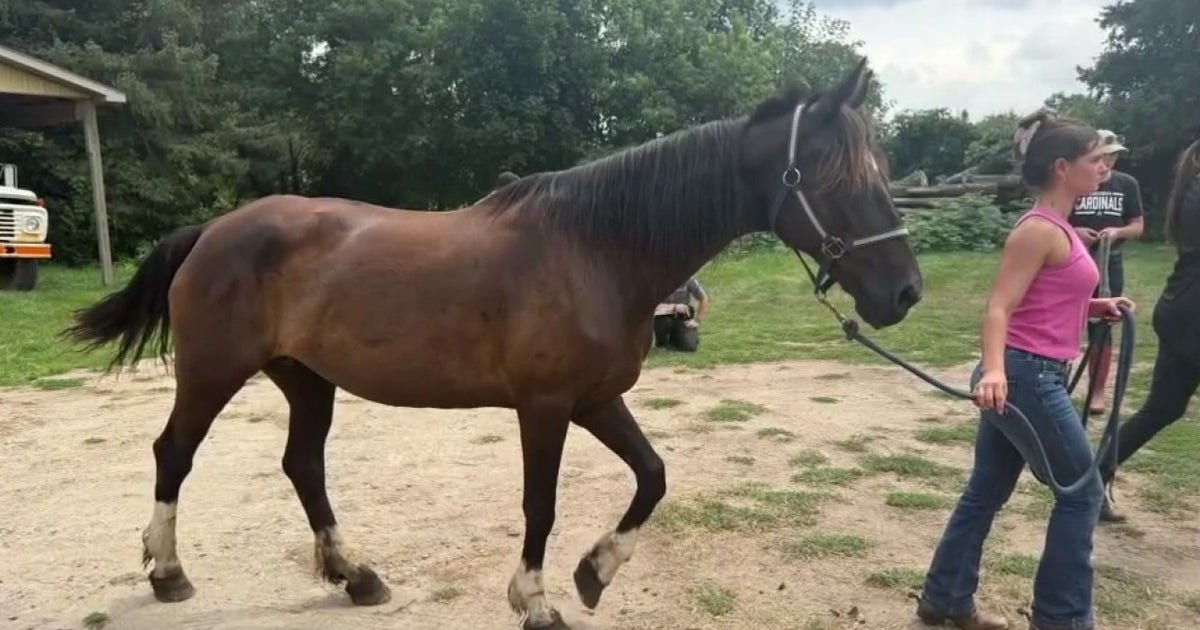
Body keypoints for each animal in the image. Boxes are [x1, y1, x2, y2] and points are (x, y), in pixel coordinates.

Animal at [64, 57, 922, 629]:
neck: (596, 249)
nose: (905, 293)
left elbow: (652, 477)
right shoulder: (544, 407)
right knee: (173, 455)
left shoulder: (596, 400)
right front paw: (536, 601)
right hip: (214, 371)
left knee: (302, 466)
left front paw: (594, 573)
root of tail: (214, 230)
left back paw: (356, 575)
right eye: (835, 178)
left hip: (305, 378)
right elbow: (540, 504)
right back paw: (169, 574)